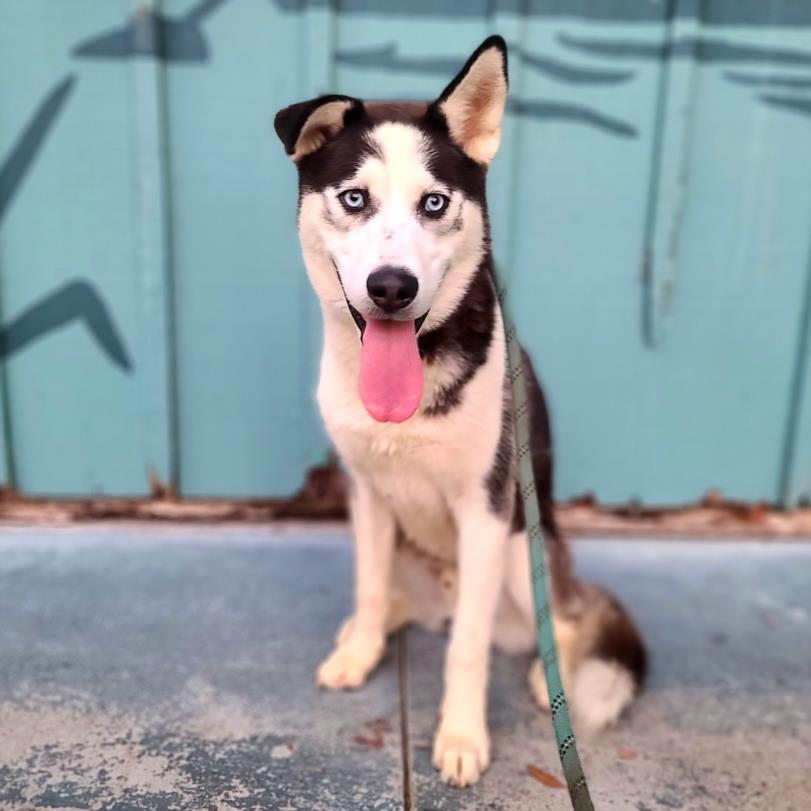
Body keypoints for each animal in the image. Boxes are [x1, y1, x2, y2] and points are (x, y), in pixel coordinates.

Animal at [274, 36, 648, 788]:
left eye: (434, 202)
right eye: (353, 198)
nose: (391, 287)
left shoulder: (485, 510)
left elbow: (468, 649)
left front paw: (461, 735)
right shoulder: (367, 494)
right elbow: (365, 587)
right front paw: (359, 651)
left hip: (522, 551)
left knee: (560, 620)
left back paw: (549, 675)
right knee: (391, 594)